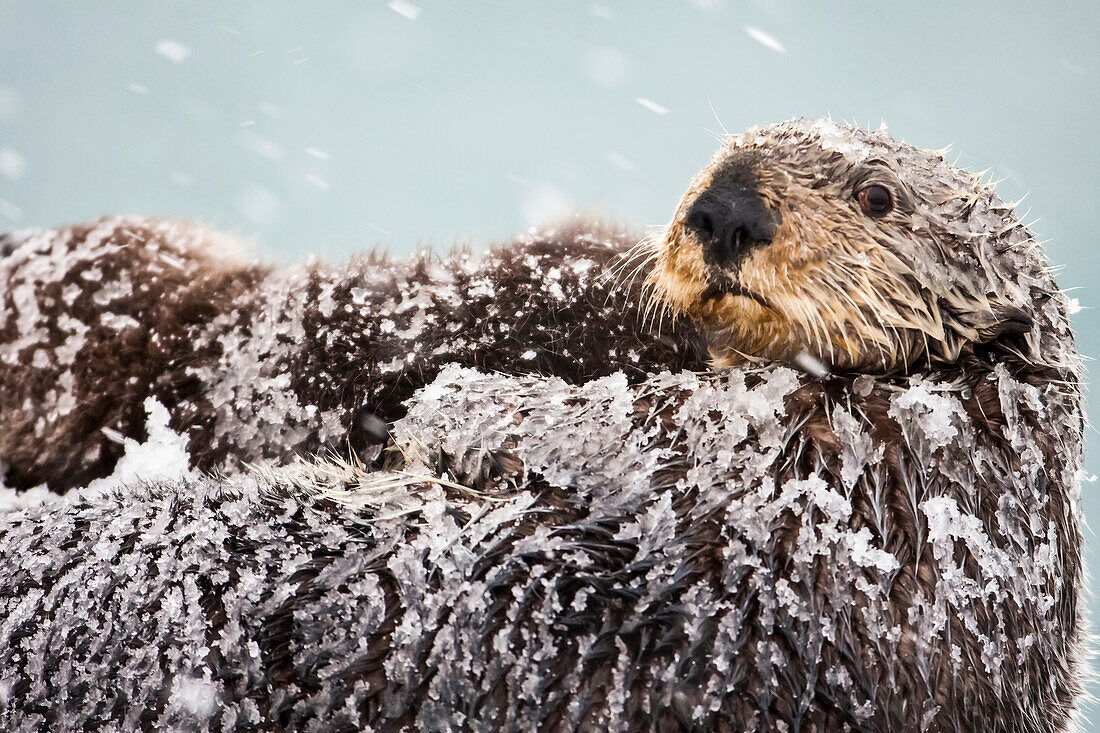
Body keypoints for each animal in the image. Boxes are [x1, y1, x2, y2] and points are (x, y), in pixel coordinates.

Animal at [0, 117, 1082, 726]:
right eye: (718, 154)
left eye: (876, 195)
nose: (726, 207)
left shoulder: (787, 453)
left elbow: (607, 433)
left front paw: (450, 403)